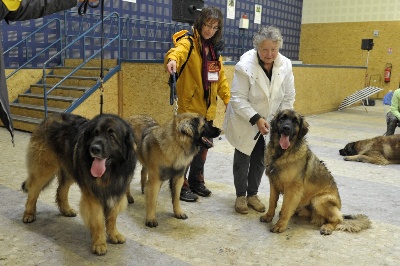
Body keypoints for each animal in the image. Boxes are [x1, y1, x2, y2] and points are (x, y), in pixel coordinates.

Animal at [21, 113, 138, 255]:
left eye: (112, 136)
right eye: (95, 134)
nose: (94, 148)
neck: (111, 172)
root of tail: (48, 118)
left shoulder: (117, 191)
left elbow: (112, 216)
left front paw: (114, 234)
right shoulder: (92, 196)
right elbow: (98, 220)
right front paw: (99, 243)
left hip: (70, 170)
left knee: (61, 190)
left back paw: (66, 210)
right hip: (44, 169)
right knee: (33, 191)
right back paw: (29, 214)